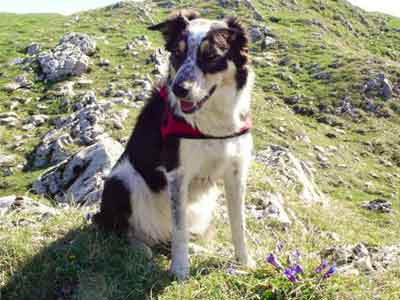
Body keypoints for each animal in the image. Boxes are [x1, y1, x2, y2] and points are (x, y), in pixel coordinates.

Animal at [94, 9, 255, 282]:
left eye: (211, 56)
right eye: (177, 54)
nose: (179, 89)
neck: (212, 123)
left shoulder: (236, 170)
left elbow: (239, 222)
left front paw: (244, 261)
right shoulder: (178, 173)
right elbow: (179, 229)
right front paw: (180, 269)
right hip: (120, 181)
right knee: (119, 230)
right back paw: (141, 249)